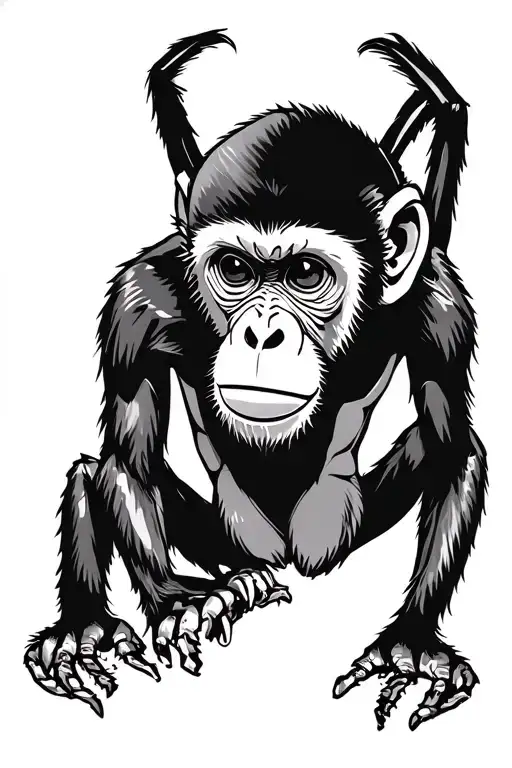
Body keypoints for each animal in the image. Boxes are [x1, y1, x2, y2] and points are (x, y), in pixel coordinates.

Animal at [25, 30, 486, 732]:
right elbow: (128, 462)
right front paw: (175, 602)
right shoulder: (137, 304)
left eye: (305, 274)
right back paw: (91, 630)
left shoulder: (438, 310)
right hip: (229, 538)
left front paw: (410, 646)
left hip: (341, 526)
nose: (264, 334)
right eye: (236, 270)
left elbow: (451, 447)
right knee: (90, 472)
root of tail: (287, 558)